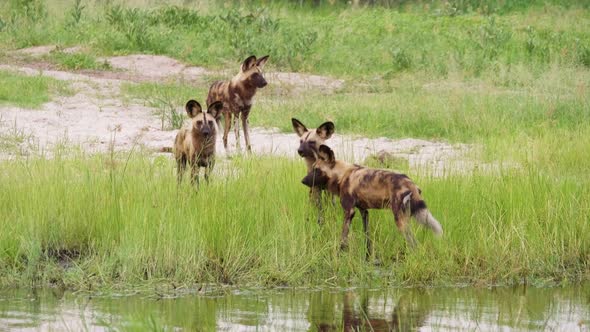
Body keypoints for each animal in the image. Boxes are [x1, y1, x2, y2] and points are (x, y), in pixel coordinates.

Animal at [306, 145, 444, 256]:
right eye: (313, 169)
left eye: (317, 170)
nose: (303, 181)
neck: (342, 175)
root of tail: (410, 183)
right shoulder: (364, 211)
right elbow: (367, 237)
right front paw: (367, 256)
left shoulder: (349, 211)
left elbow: (343, 238)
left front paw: (340, 254)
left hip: (400, 221)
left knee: (414, 244)